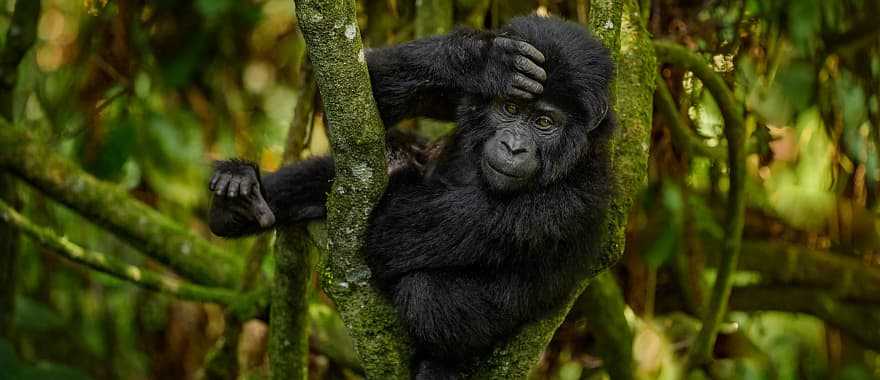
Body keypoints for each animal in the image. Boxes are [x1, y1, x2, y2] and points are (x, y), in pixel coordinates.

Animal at [210, 15, 616, 380]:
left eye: (545, 123)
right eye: (510, 108)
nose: (514, 147)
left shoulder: (568, 201)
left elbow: (390, 232)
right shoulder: (465, 95)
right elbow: (364, 89)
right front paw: (483, 62)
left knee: (426, 294)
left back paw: (442, 365)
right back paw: (237, 204)